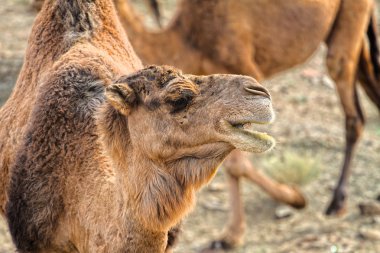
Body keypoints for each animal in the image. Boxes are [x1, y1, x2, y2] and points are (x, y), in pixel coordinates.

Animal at [113, 0, 380, 250]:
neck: (188, 39)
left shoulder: (244, 72)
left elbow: (237, 163)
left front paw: (293, 198)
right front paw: (231, 235)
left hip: (350, 21)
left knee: (351, 105)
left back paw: (338, 203)